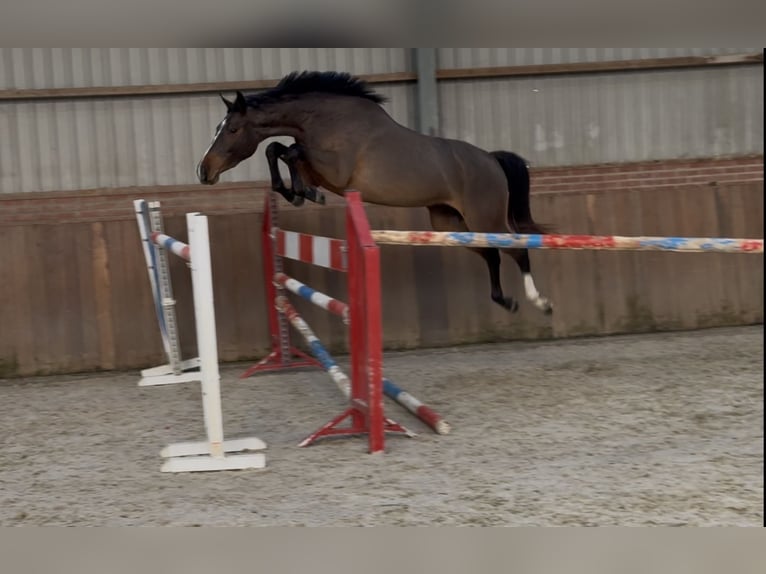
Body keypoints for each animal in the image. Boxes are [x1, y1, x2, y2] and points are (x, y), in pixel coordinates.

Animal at [197, 71, 552, 314]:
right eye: (216, 128)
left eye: (232, 129)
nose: (203, 170)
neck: (325, 119)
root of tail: (492, 160)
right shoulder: (319, 169)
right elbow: (278, 150)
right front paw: (299, 193)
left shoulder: (335, 171)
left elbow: (290, 151)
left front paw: (301, 192)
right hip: (449, 222)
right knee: (492, 254)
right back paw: (505, 301)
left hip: (486, 218)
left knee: (517, 248)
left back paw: (541, 302)